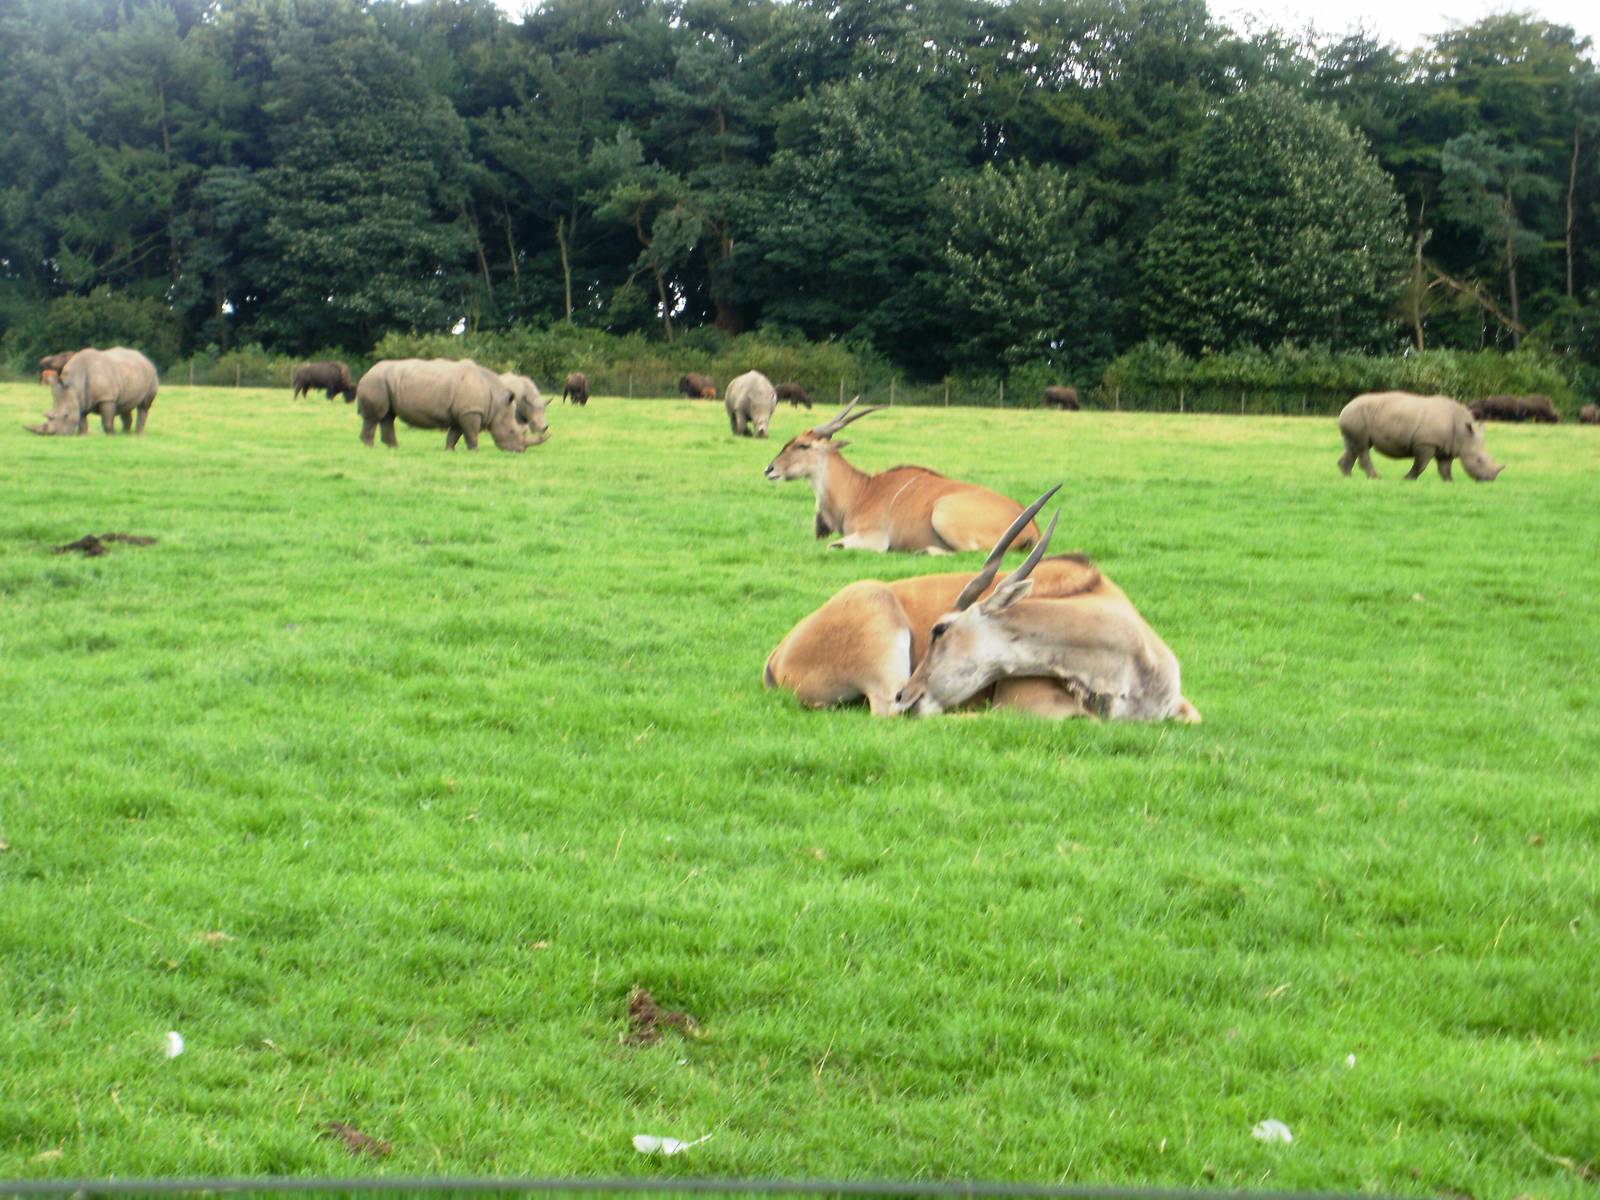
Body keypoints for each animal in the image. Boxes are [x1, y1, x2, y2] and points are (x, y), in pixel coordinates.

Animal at [29, 347, 158, 436]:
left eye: (66, 415)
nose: (57, 434)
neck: (75, 384)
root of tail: (145, 358)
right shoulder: (80, 399)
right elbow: (82, 420)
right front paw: (83, 435)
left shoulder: (107, 398)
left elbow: (107, 421)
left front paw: (111, 435)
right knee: (125, 406)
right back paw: (126, 434)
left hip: (151, 373)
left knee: (143, 407)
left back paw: (138, 434)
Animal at [354, 359, 539, 452]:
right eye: (512, 431)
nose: (520, 450)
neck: (497, 402)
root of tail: (366, 373)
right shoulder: (471, 412)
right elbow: (472, 434)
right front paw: (475, 451)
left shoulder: (462, 413)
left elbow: (455, 434)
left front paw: (449, 451)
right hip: (376, 381)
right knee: (375, 417)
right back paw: (370, 447)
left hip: (383, 382)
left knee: (388, 416)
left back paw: (393, 448)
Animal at [1337, 391, 1504, 482]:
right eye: (1479, 460)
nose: (1490, 480)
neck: (1463, 433)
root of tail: (1344, 409)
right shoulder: (1426, 443)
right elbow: (1421, 465)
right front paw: (1407, 479)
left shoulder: (1446, 447)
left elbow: (1445, 468)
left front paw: (1450, 482)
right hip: (1357, 415)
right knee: (1362, 447)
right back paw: (1375, 478)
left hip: (1356, 416)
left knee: (1354, 446)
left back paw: (1347, 477)